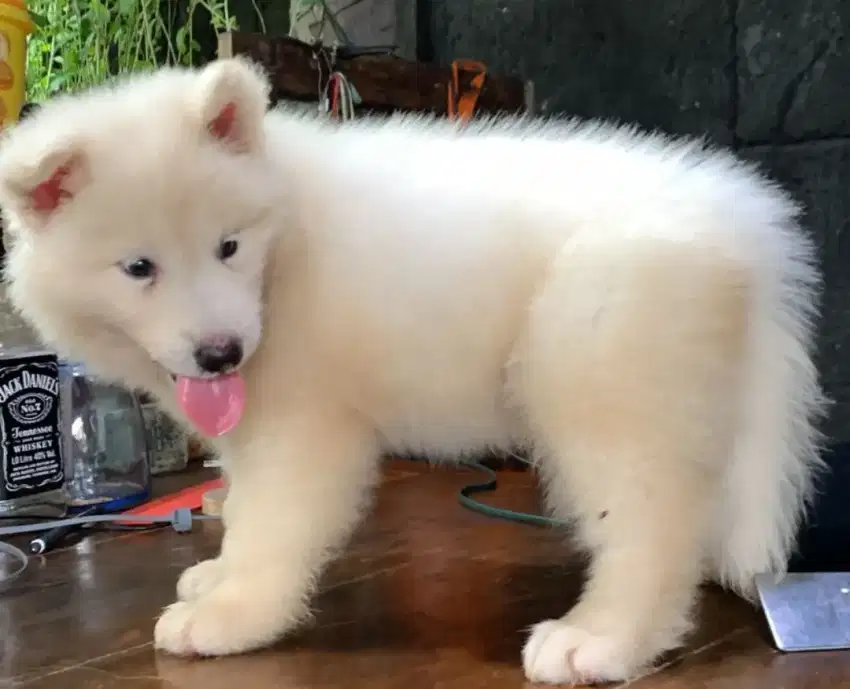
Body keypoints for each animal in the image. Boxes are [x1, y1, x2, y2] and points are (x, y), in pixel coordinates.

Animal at [0, 60, 824, 684]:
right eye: (139, 268)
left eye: (229, 246)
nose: (222, 353)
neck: (286, 250)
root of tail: (748, 220)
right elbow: (241, 514)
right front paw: (218, 577)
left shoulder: (305, 425)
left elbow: (271, 527)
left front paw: (233, 615)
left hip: (597, 371)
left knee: (648, 527)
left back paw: (602, 638)